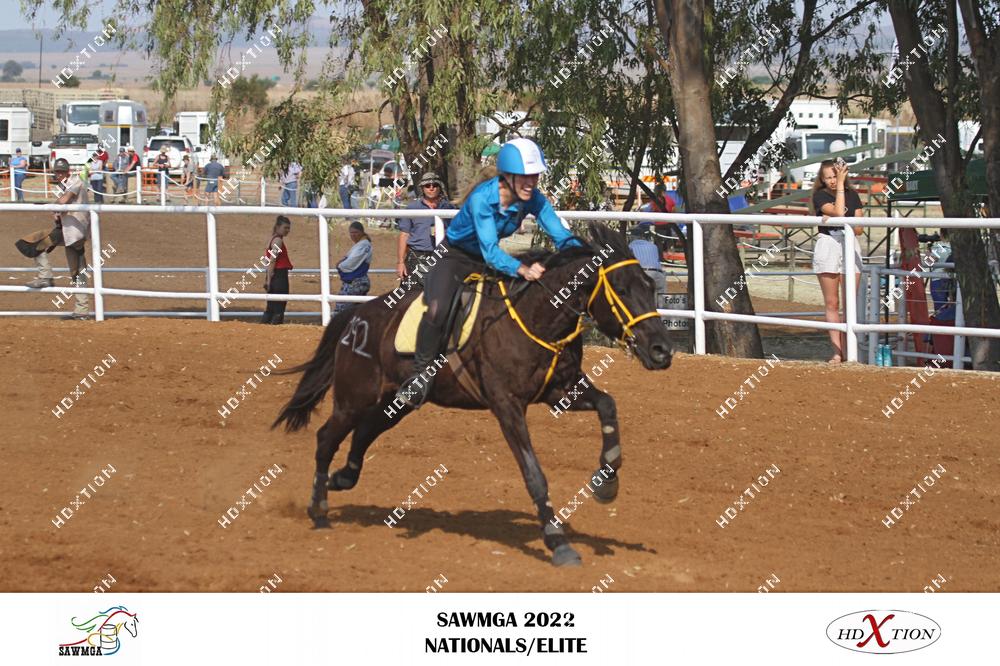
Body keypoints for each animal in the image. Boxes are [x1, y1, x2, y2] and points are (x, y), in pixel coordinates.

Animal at [274, 222, 673, 566]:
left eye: (649, 287)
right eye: (621, 289)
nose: (661, 351)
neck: (535, 316)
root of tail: (356, 318)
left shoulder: (561, 391)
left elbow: (608, 405)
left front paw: (608, 482)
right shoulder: (507, 406)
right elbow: (534, 474)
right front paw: (558, 542)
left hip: (395, 403)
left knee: (364, 433)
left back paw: (343, 479)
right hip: (354, 398)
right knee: (327, 438)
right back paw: (318, 509)